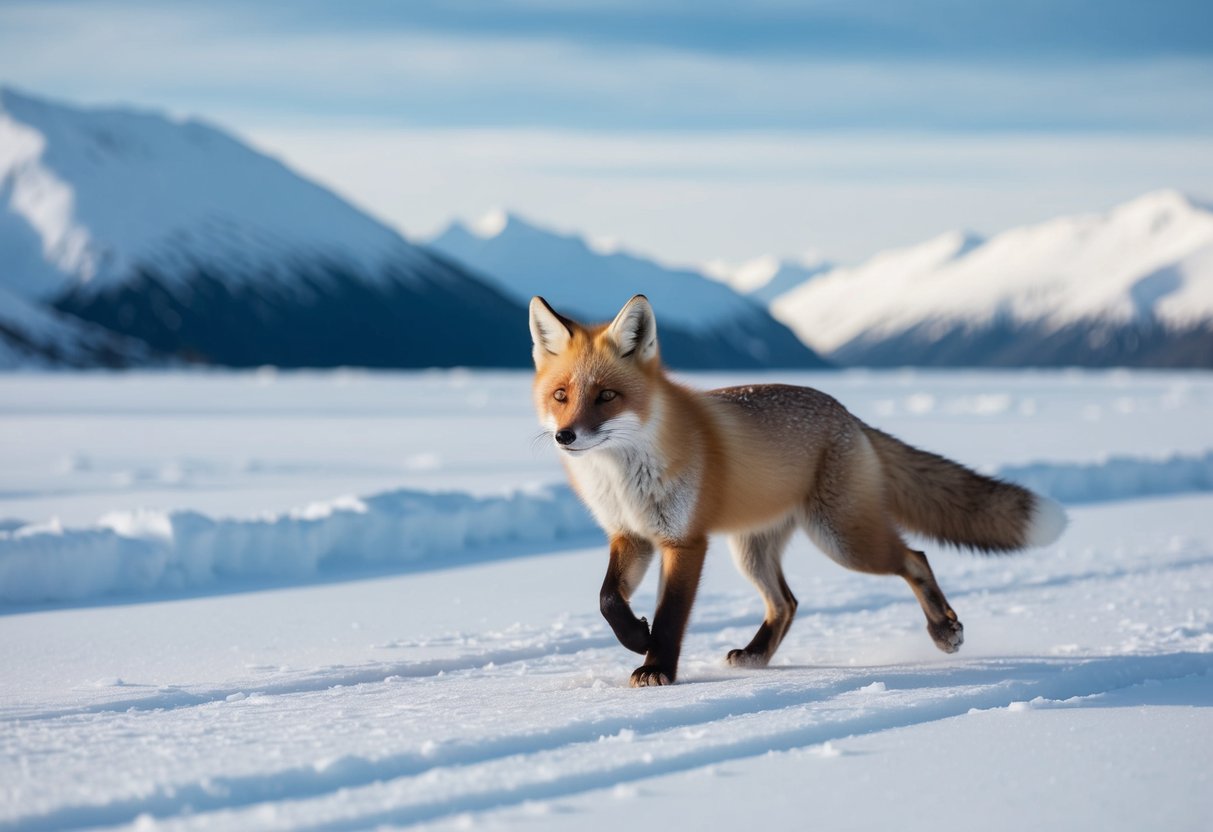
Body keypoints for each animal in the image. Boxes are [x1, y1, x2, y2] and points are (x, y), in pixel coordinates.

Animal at [529, 294, 1067, 687]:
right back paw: (755, 655)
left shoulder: (685, 541)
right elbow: (607, 599)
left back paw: (944, 630)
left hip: (842, 540)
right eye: (561, 396)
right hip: (752, 550)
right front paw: (635, 638)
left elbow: (671, 615)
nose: (565, 436)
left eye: (606, 396)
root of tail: (846, 412)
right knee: (786, 603)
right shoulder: (632, 536)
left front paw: (656, 664)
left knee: (915, 558)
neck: (621, 479)